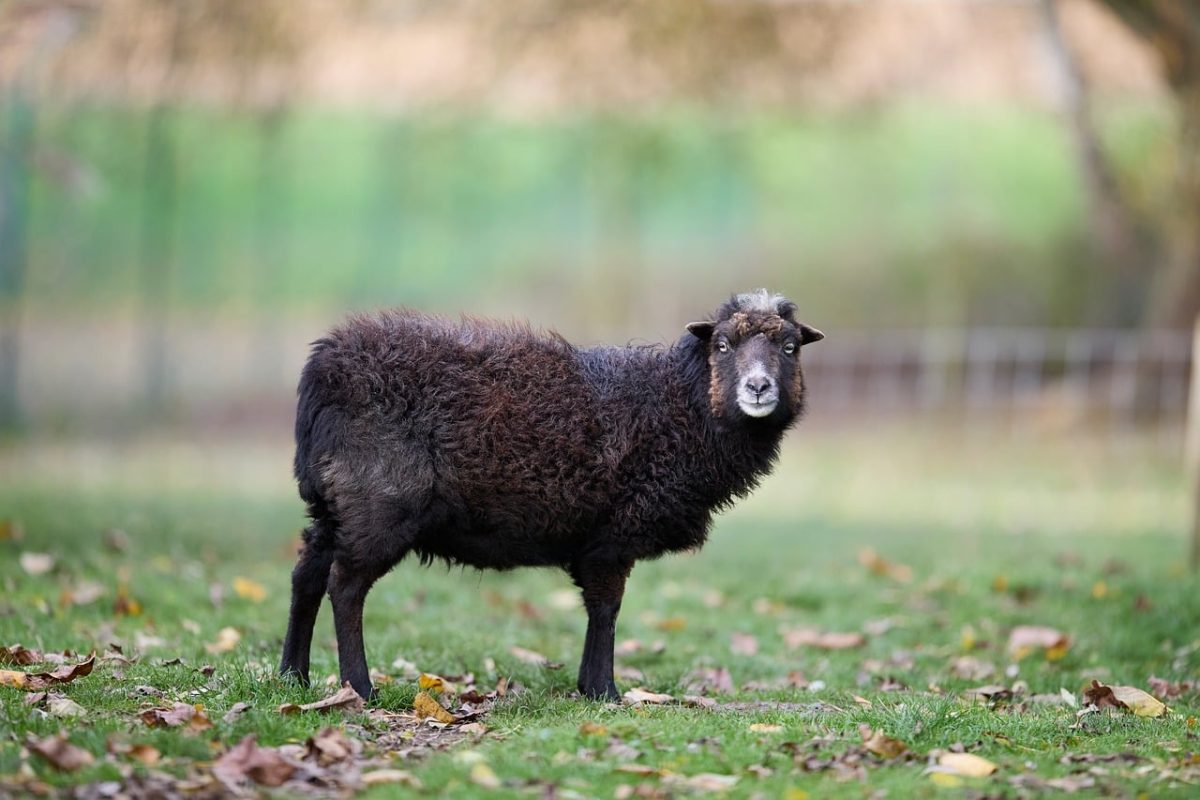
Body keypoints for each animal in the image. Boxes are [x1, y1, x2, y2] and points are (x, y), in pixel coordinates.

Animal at [279, 289, 824, 701]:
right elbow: (606, 609)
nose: (758, 387)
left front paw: (590, 687)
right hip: (377, 501)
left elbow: (599, 610)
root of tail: (322, 368)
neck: (677, 406)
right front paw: (604, 691)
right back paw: (359, 687)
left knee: (307, 574)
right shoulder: (612, 536)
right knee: (345, 586)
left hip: (334, 503)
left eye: (790, 347)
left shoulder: (598, 540)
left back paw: (293, 677)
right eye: (724, 345)